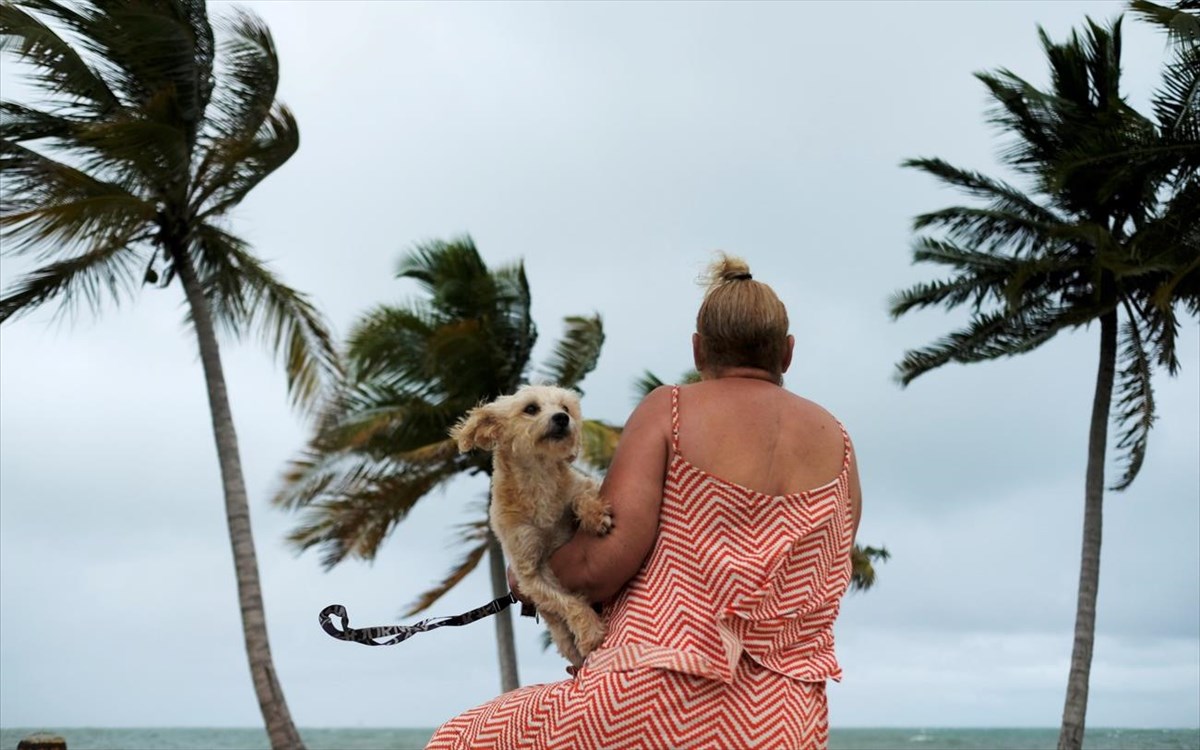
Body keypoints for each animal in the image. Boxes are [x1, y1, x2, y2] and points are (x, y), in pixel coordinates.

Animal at [453, 384, 614, 662]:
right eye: (531, 408)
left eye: (565, 407)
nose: (562, 418)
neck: (538, 478)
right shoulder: (530, 573)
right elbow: (566, 601)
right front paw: (589, 631)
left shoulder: (583, 486)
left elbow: (580, 495)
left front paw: (594, 515)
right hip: (561, 638)